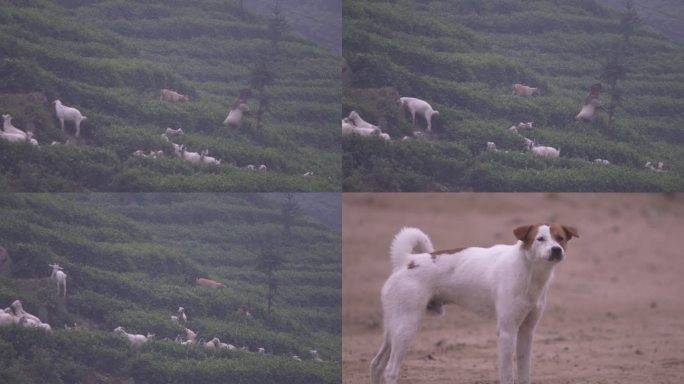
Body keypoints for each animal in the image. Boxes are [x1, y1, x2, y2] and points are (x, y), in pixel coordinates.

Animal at [374, 224, 576, 382]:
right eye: (540, 239)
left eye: (561, 238)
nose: (557, 249)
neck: (527, 270)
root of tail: (407, 261)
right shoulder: (507, 332)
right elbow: (507, 375)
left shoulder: (526, 331)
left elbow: (524, 372)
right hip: (406, 327)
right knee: (390, 370)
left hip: (394, 329)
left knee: (376, 364)